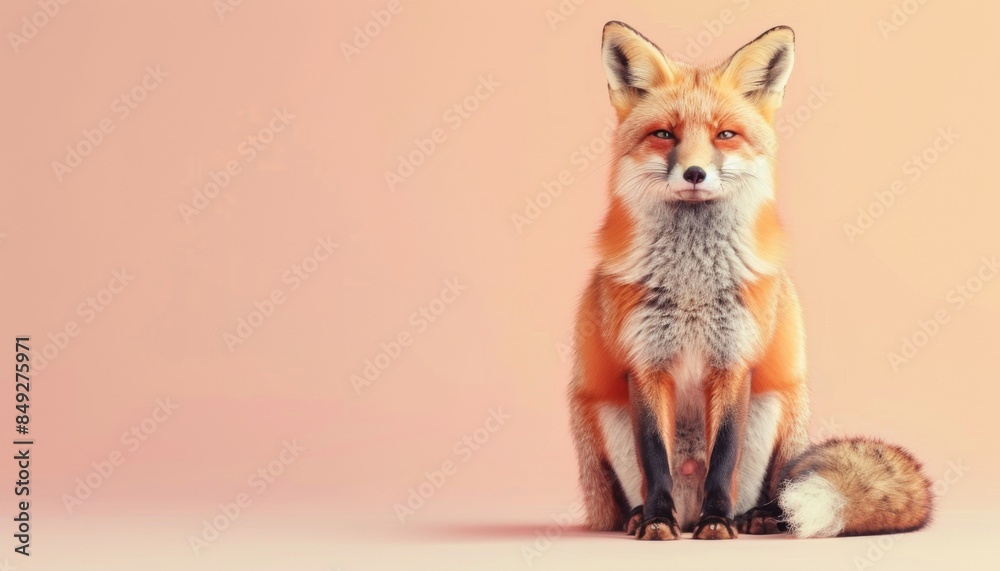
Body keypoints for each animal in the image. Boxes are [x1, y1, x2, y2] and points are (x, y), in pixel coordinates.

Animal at [568, 22, 933, 540]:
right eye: (664, 134)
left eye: (725, 135)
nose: (694, 173)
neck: (693, 287)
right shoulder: (646, 365)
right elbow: (654, 460)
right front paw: (656, 520)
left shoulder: (734, 362)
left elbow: (724, 456)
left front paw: (718, 522)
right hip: (607, 413)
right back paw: (647, 516)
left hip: (773, 409)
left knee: (773, 492)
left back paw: (753, 517)